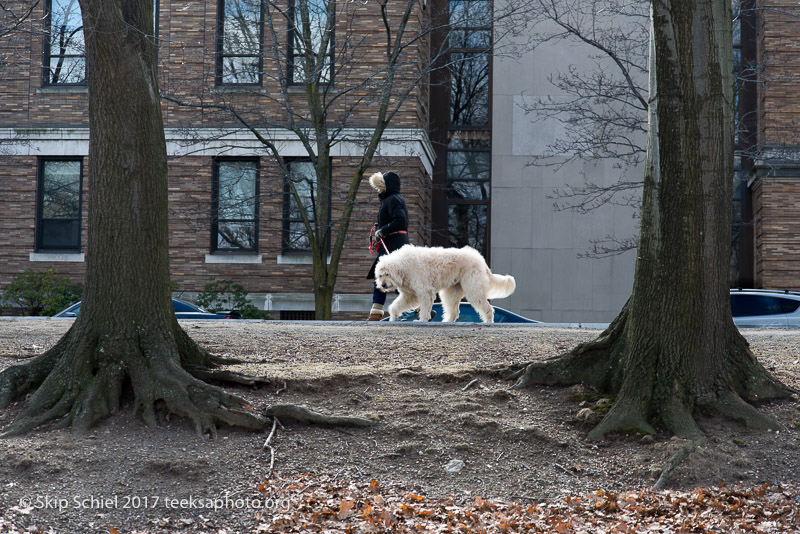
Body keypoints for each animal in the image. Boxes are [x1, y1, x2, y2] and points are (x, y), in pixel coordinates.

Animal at [376, 245, 520, 324]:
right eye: (380, 275)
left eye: (387, 274)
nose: (383, 285)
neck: (404, 265)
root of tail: (480, 260)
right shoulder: (409, 295)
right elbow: (396, 306)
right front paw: (393, 317)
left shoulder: (425, 291)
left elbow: (424, 307)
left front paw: (422, 320)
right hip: (452, 291)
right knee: (454, 311)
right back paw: (447, 321)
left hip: (473, 289)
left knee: (488, 308)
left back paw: (488, 321)